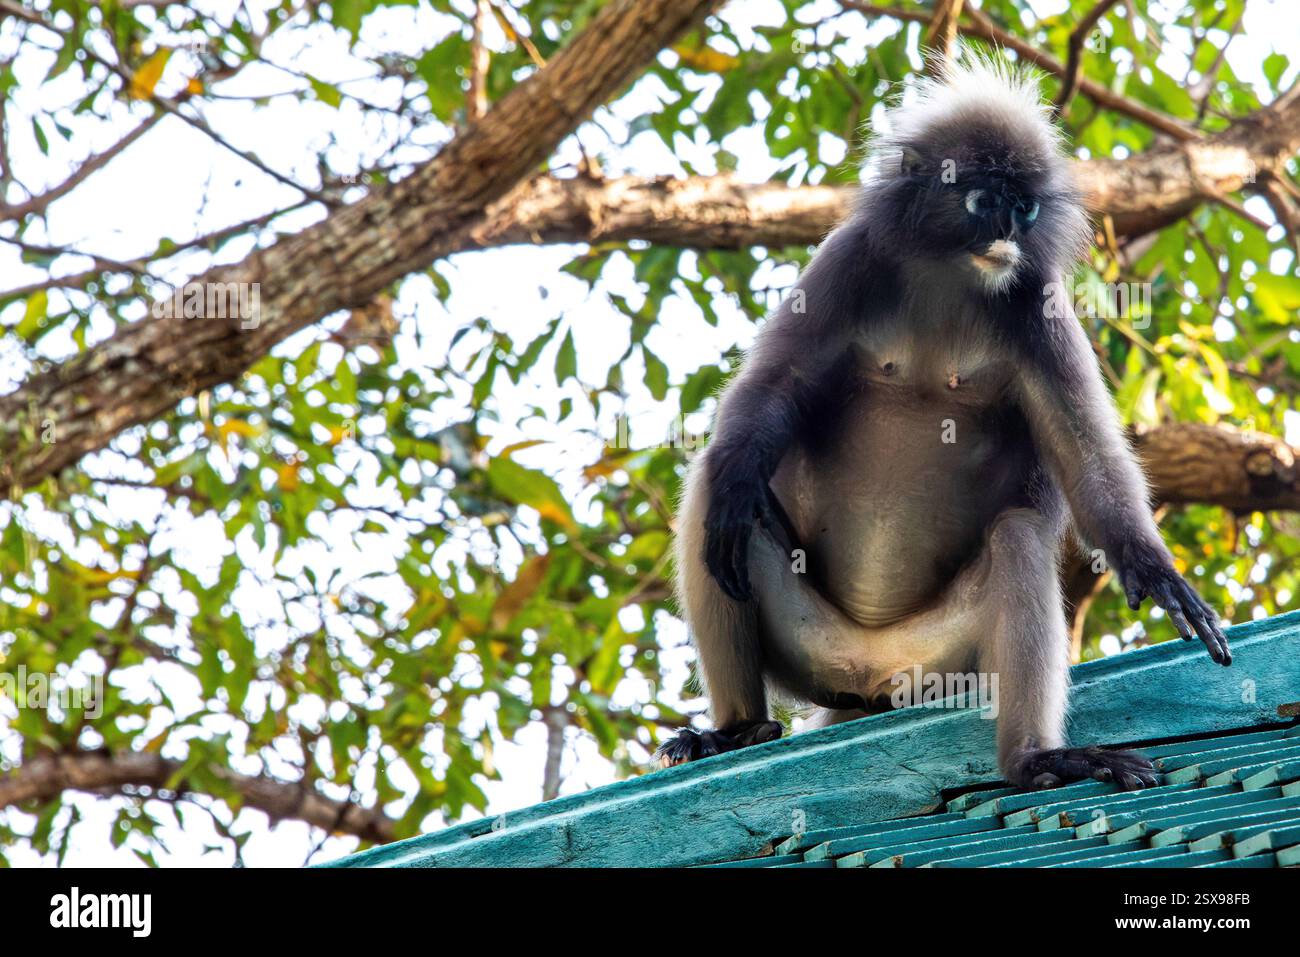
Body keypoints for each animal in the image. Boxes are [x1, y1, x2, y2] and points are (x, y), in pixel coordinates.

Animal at [658, 52, 1230, 791]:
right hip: (810, 649)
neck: (946, 277)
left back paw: (1039, 758)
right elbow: (769, 390)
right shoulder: (850, 259)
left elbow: (1087, 458)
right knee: (718, 490)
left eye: (1025, 207)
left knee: (1017, 539)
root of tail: (870, 671)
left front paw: (1154, 571)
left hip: (940, 661)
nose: (1008, 234)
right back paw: (733, 729)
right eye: (986, 201)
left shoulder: (1036, 302)